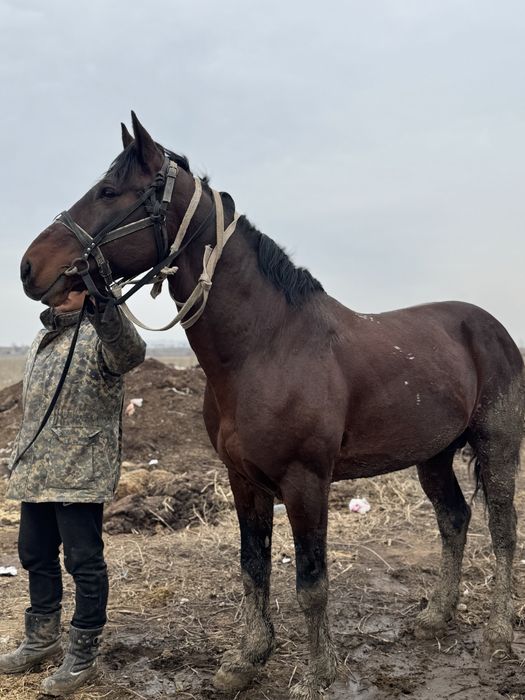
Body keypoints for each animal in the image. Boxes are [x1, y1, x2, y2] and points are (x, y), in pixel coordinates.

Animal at [20, 112, 525, 699]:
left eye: (108, 192)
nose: (29, 267)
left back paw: (497, 633)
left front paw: (321, 673)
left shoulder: (305, 482)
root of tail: (492, 327)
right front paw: (246, 659)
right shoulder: (244, 481)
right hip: (434, 456)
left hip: (496, 447)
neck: (266, 347)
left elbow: (311, 581)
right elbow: (253, 568)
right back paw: (436, 616)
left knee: (502, 530)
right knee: (454, 520)